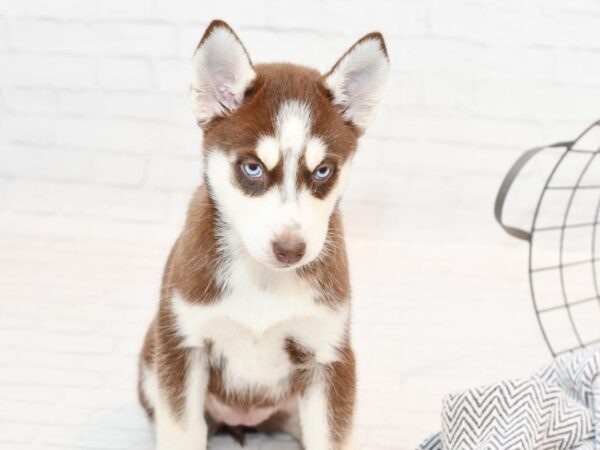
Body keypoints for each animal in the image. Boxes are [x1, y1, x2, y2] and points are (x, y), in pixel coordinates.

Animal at [138, 19, 386, 448]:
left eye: (323, 171)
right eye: (252, 168)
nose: (290, 249)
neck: (263, 281)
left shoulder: (328, 356)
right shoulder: (184, 347)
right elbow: (182, 431)